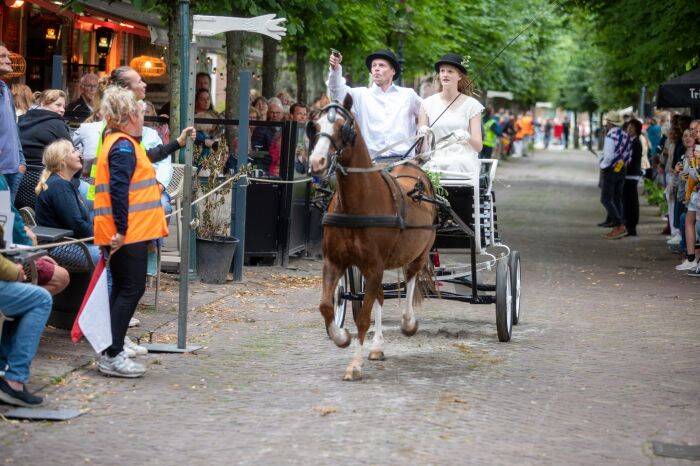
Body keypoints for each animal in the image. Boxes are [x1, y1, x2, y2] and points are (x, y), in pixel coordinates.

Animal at [308, 96, 434, 380]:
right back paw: (377, 347)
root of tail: (412, 165)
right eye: (315, 126)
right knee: (380, 297)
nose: (317, 161)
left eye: (343, 128)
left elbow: (363, 317)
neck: (357, 204)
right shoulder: (334, 262)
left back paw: (408, 322)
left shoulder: (375, 266)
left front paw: (354, 364)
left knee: (411, 280)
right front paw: (341, 337)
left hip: (419, 253)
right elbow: (326, 306)